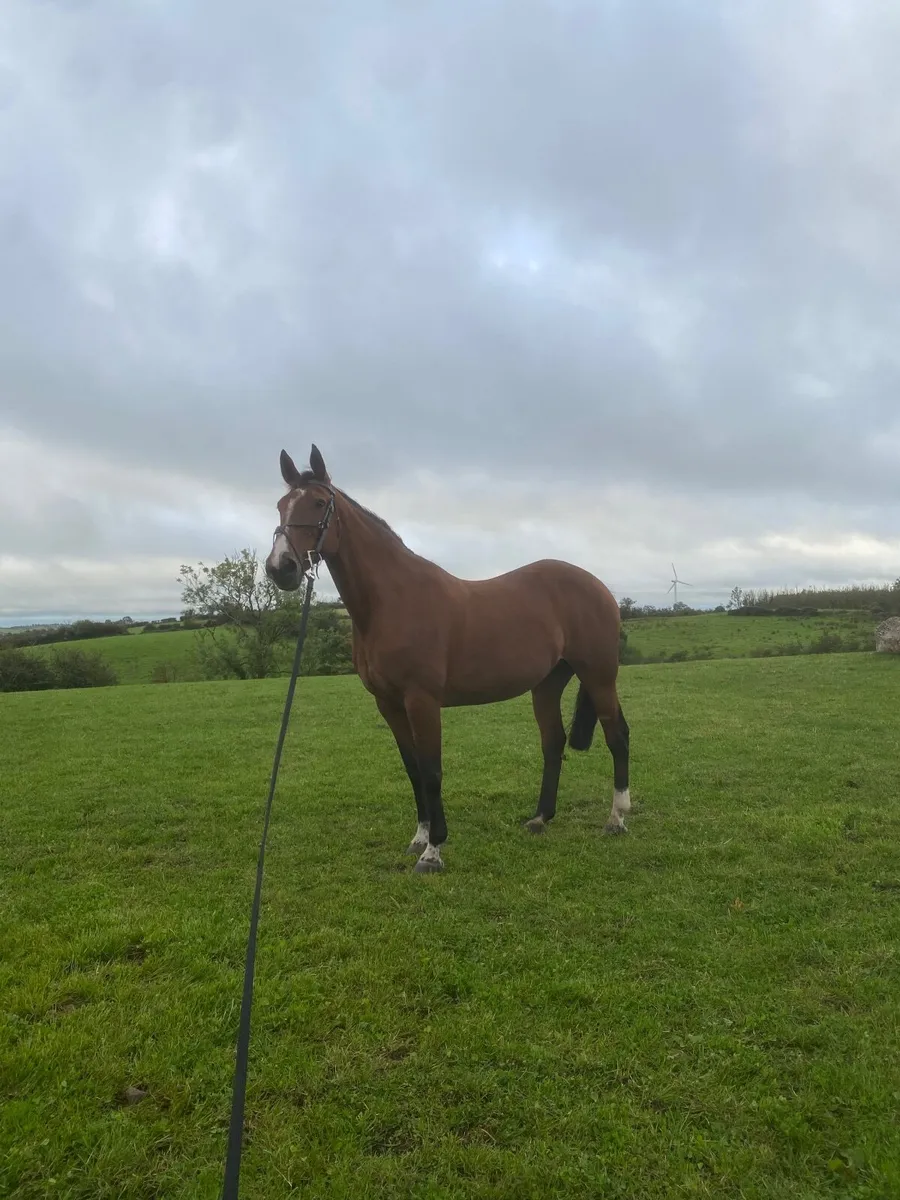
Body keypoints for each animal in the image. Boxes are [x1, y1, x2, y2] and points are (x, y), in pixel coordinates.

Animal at [265, 445, 630, 873]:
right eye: (281, 506)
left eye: (320, 503)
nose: (280, 567)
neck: (391, 602)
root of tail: (599, 587)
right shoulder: (389, 704)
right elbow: (412, 771)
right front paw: (419, 837)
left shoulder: (422, 701)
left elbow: (432, 770)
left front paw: (433, 852)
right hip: (548, 683)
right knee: (553, 742)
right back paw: (540, 818)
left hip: (599, 675)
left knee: (617, 736)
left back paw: (616, 818)